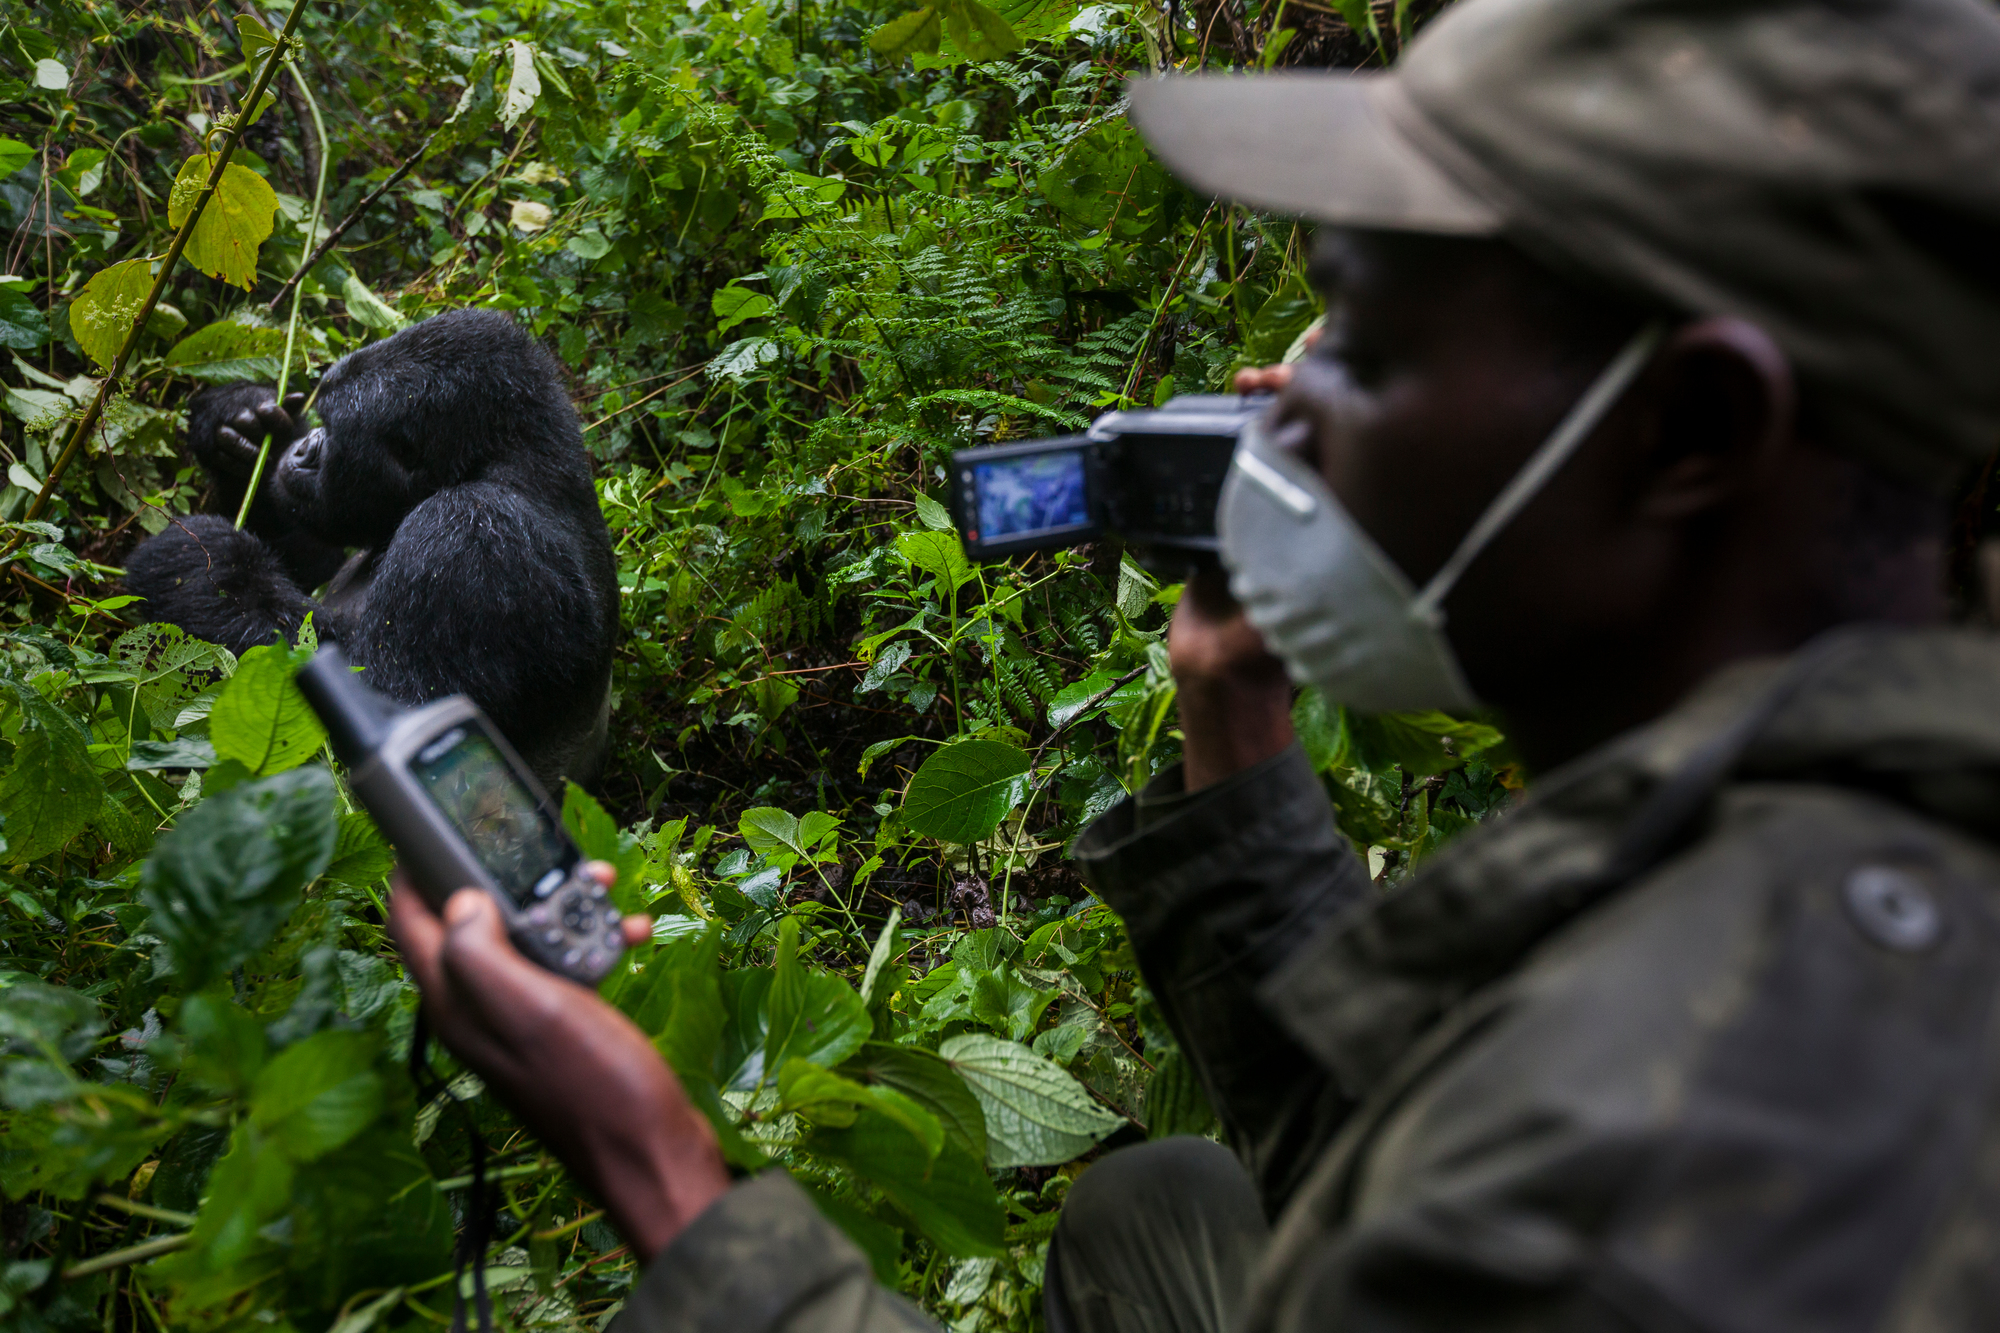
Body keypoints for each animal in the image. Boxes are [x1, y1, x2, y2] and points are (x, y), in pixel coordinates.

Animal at [129, 312, 612, 788]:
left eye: (332, 430)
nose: (303, 448)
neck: (508, 459)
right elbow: (313, 559)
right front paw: (243, 422)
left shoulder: (471, 537)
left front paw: (205, 564)